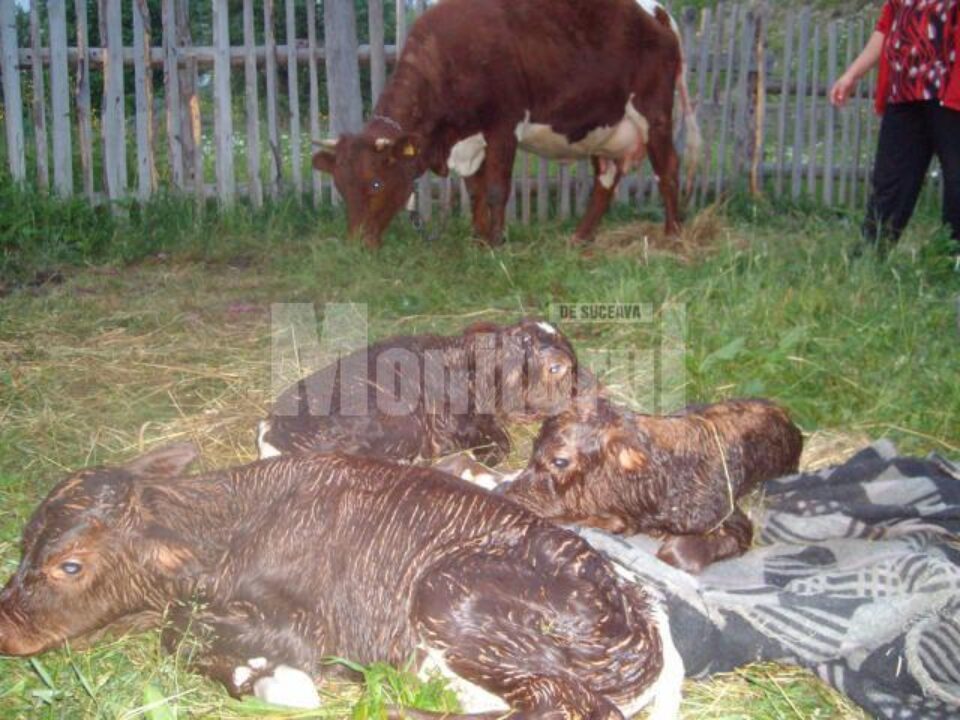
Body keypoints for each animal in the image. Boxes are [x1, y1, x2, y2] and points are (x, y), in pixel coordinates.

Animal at [0, 444, 684, 719]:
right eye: (23, 544)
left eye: (69, 565)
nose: (5, 629)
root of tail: (642, 622)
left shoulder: (307, 624)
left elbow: (177, 630)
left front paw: (270, 678)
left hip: (450, 596)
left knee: (568, 704)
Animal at [312, 0, 701, 248]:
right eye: (340, 186)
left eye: (376, 183)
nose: (357, 245)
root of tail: (656, 12)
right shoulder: (468, 141)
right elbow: (475, 191)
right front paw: (478, 238)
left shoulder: (503, 126)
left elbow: (497, 189)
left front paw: (497, 243)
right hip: (603, 127)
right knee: (605, 179)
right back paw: (580, 238)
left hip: (655, 113)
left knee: (667, 168)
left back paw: (673, 235)